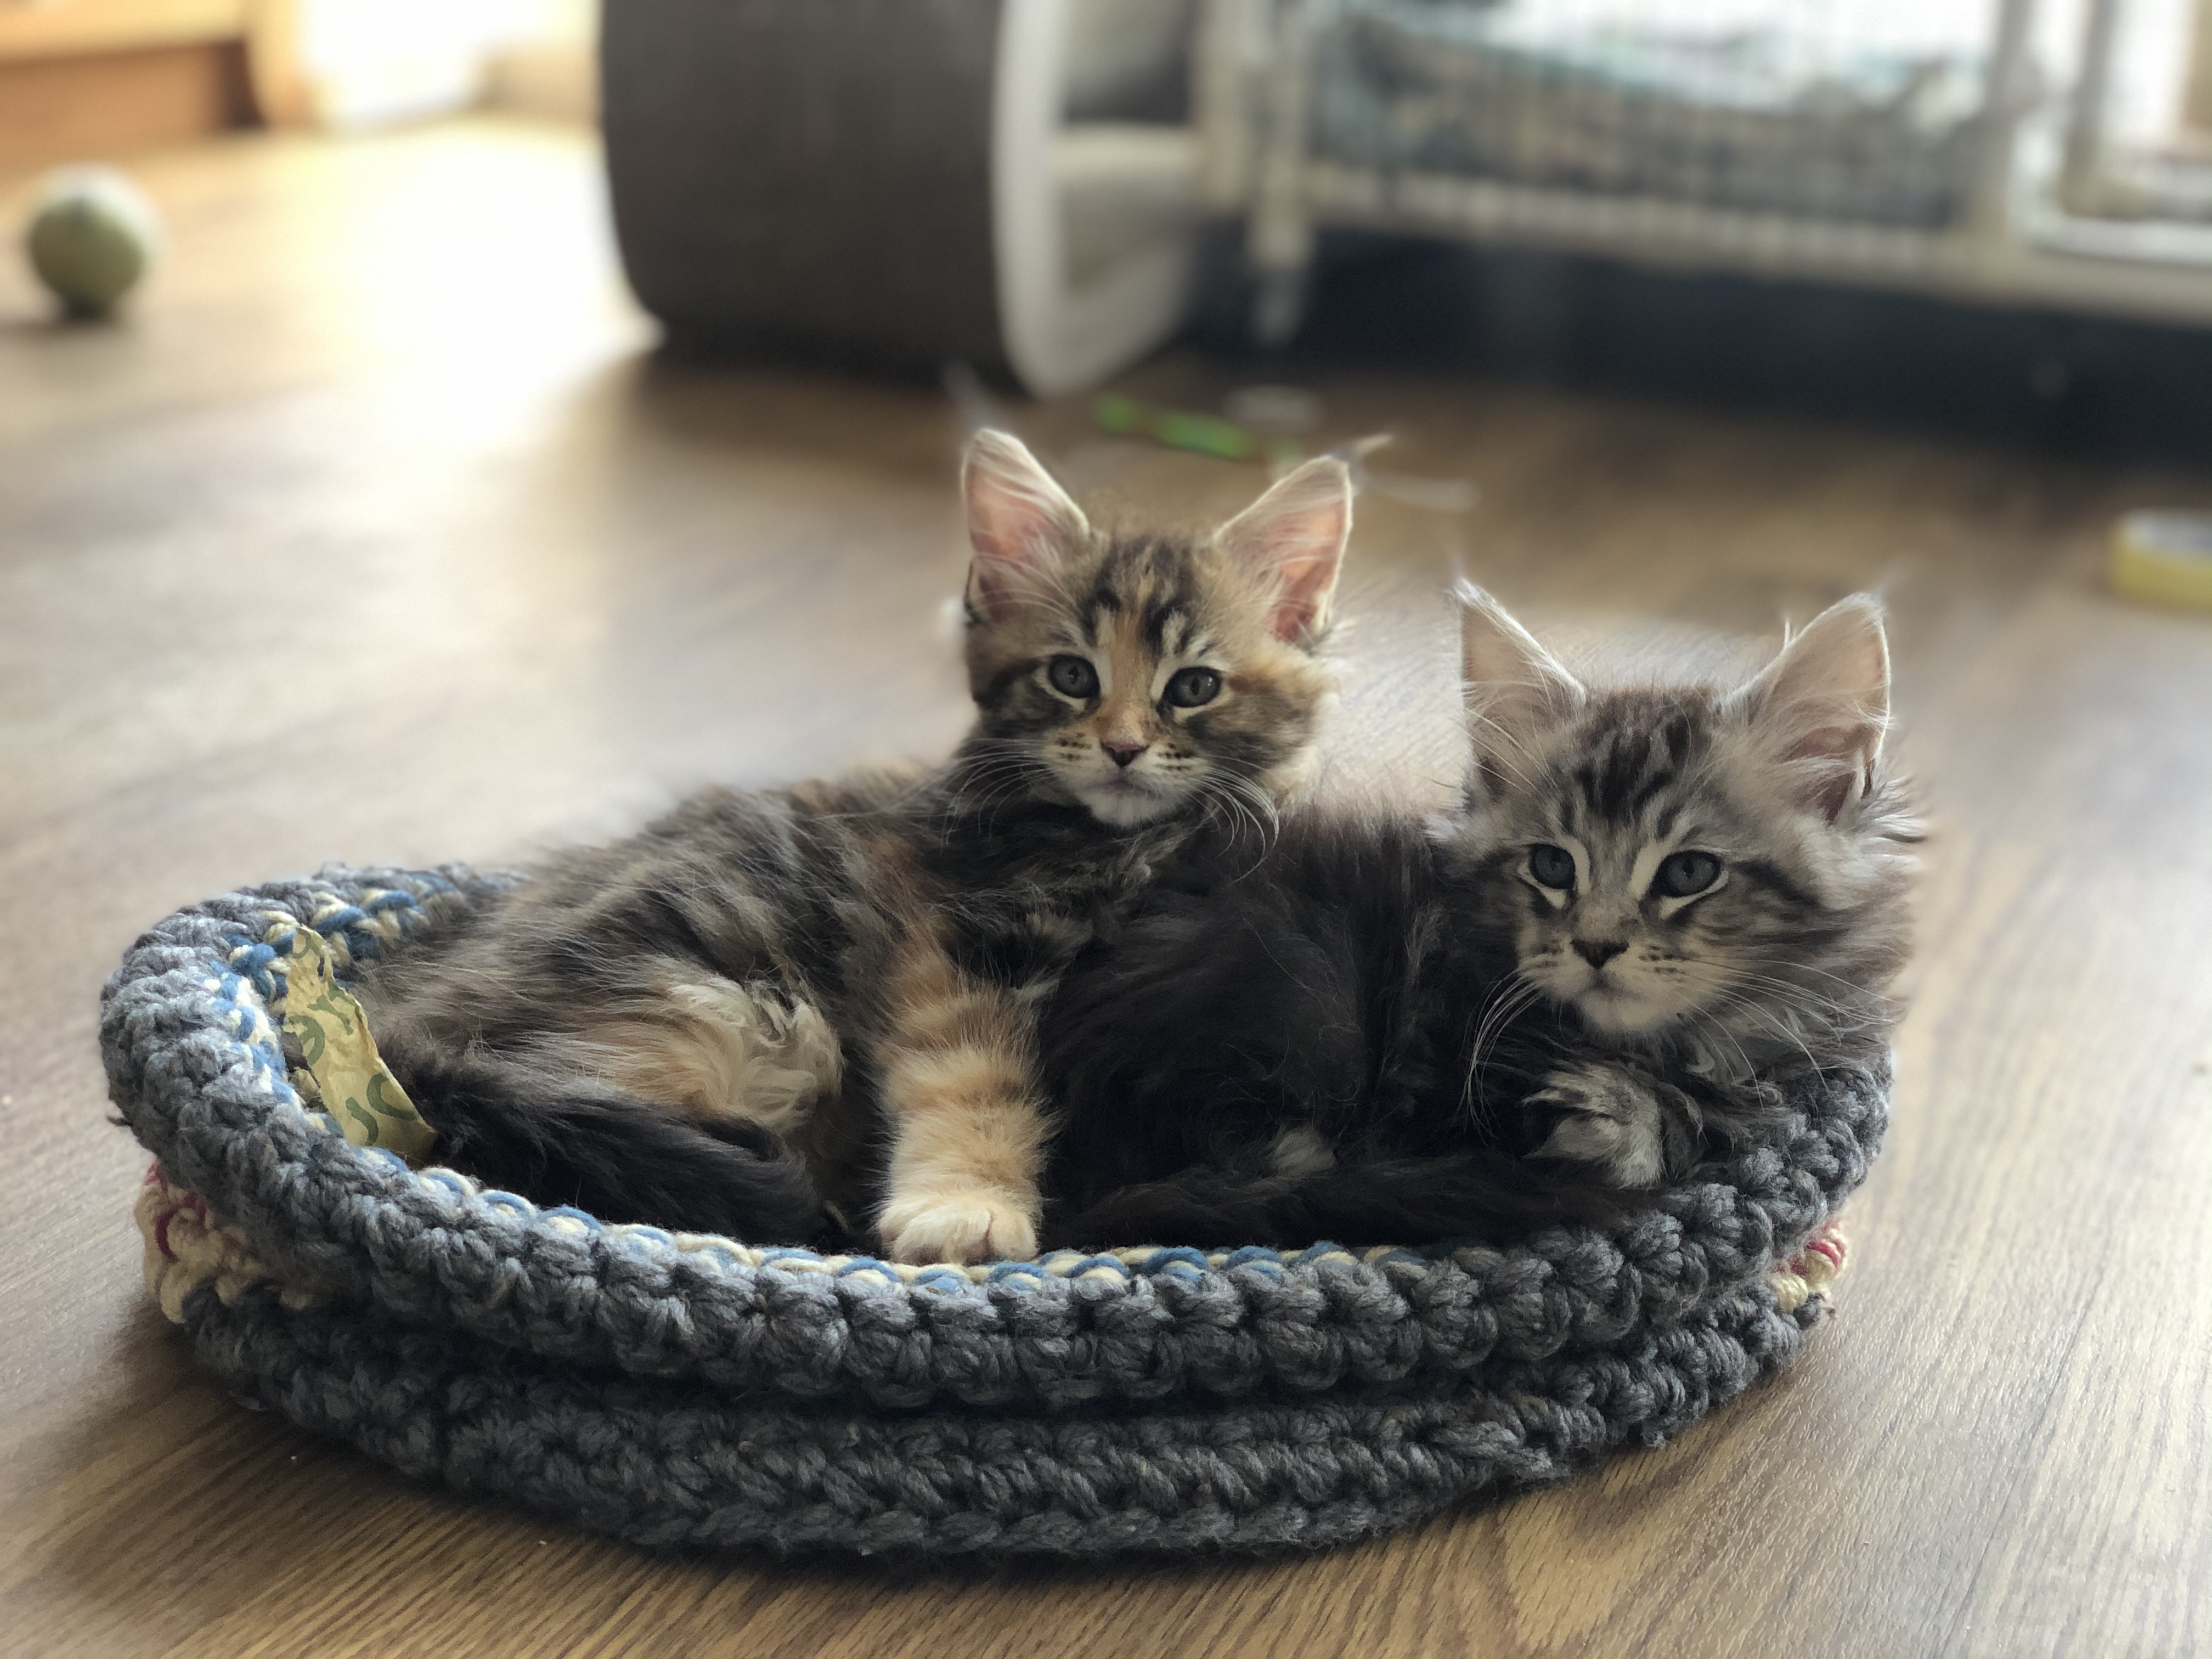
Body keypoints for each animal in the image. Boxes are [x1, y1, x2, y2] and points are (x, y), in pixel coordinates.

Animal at [356, 429, 1352, 1264]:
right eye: (1072, 676)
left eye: (1194, 687)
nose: (1121, 747)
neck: (1116, 844)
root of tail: (401, 1008)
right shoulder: (951, 943)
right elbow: (971, 1077)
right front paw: (966, 1207)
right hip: (711, 1003)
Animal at [1037, 584, 1916, 1249]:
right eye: (1553, 867)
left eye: (1690, 874)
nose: (1596, 946)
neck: (1668, 1045)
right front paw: (1619, 1123)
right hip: (1305, 1002)